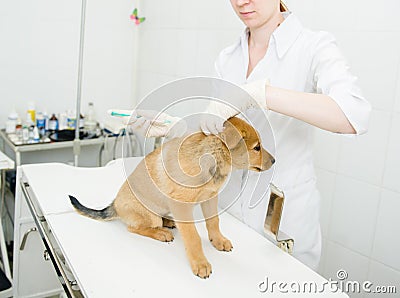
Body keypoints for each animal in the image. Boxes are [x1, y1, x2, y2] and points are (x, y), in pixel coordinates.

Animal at [69, 117, 276, 280]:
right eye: (257, 148)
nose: (274, 161)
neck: (211, 159)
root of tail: (115, 205)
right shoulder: (181, 205)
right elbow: (193, 237)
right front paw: (200, 263)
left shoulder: (210, 198)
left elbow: (214, 222)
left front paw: (218, 240)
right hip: (149, 215)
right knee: (134, 227)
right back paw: (161, 232)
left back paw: (168, 222)